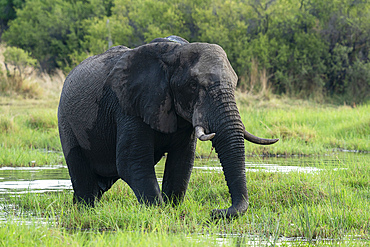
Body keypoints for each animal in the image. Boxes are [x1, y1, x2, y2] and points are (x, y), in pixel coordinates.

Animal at [57, 35, 278, 218]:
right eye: (193, 86)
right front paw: (160, 212)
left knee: (100, 184)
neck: (173, 53)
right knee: (85, 182)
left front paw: (172, 209)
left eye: (235, 84)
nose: (217, 211)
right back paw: (85, 211)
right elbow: (132, 162)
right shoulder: (130, 106)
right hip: (66, 123)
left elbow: (182, 162)